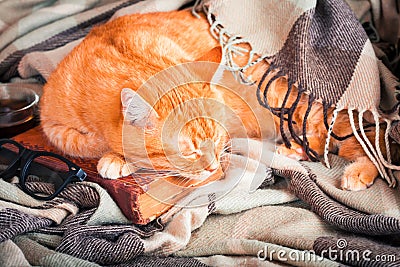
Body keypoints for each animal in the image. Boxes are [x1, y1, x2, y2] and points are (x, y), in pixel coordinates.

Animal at [40, 9, 388, 192]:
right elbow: (81, 142)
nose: (212, 168)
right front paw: (114, 153)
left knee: (368, 144)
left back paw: (357, 171)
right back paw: (292, 150)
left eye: (218, 138)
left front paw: (117, 156)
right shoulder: (51, 122)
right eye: (189, 151)